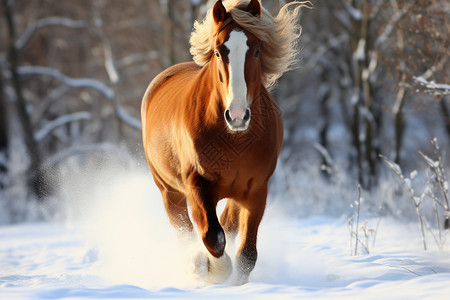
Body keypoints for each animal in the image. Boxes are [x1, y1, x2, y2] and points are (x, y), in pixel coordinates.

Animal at [141, 0, 302, 284]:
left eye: (257, 51)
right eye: (218, 51)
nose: (237, 116)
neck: (234, 139)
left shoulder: (256, 190)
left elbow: (247, 253)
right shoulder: (197, 185)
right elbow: (213, 237)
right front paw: (207, 269)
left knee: (228, 223)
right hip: (169, 190)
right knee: (184, 229)